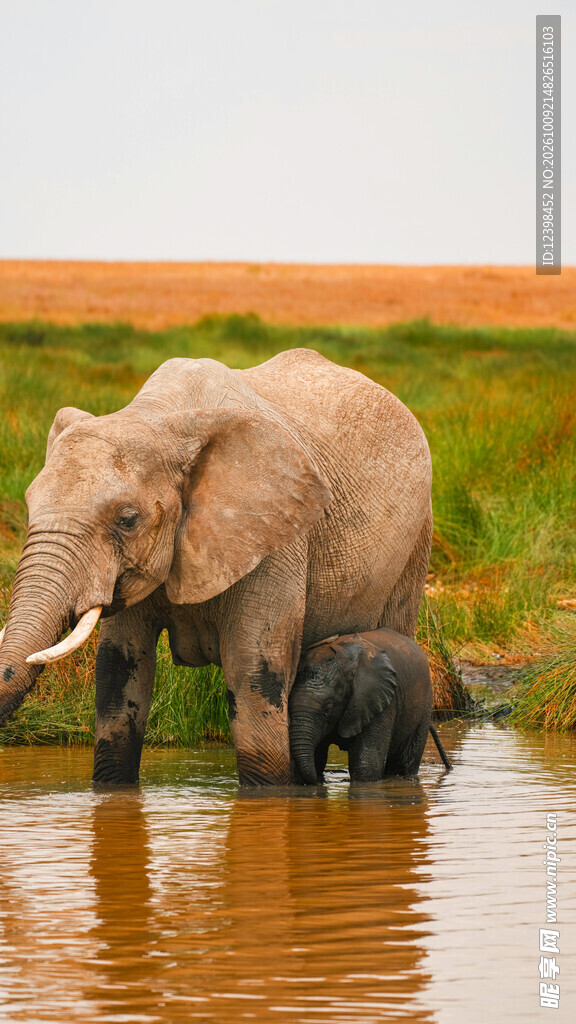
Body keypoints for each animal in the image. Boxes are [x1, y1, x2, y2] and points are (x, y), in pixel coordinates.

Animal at [0, 348, 432, 786]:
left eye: (128, 520)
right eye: (30, 506)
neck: (161, 418)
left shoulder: (274, 537)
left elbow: (253, 671)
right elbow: (119, 670)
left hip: (416, 539)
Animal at [289, 627, 452, 784]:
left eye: (329, 707)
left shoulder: (379, 699)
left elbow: (366, 767)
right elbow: (318, 758)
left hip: (425, 701)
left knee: (404, 762)